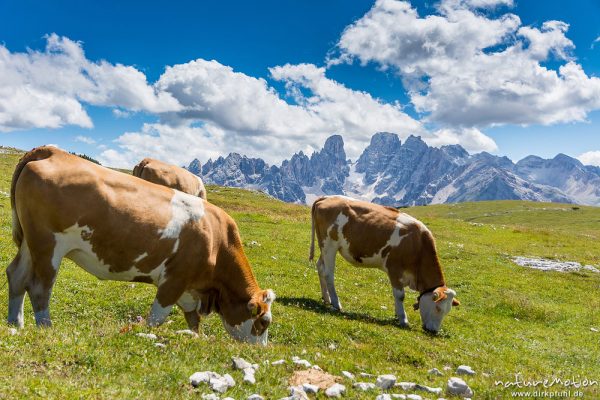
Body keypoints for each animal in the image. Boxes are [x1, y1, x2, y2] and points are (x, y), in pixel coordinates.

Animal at [8, 146, 276, 344]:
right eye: (263, 322)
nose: (260, 350)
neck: (217, 241)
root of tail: (51, 151)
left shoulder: (191, 289)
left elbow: (193, 320)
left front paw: (195, 338)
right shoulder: (174, 280)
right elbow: (156, 318)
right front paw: (146, 334)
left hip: (30, 243)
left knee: (16, 276)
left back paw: (14, 325)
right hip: (48, 245)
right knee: (39, 286)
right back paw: (46, 328)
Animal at [310, 195, 460, 332]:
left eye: (447, 311)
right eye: (438, 308)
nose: (433, 331)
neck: (418, 245)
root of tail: (327, 197)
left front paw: (397, 314)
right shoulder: (394, 269)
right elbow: (400, 295)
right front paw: (403, 319)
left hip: (324, 246)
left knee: (320, 267)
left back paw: (326, 298)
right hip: (330, 244)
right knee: (329, 274)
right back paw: (336, 303)